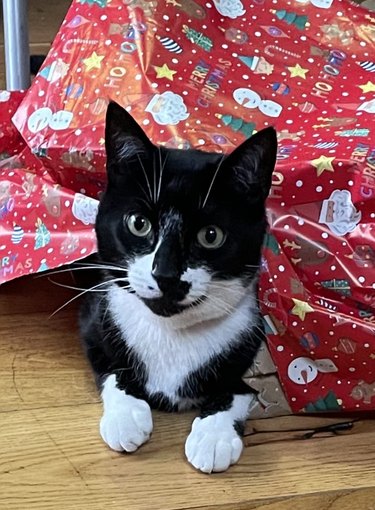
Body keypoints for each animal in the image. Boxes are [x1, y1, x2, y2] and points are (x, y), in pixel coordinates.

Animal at [79, 100, 278, 474]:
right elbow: (110, 368)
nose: (166, 274)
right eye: (138, 223)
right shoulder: (93, 320)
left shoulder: (254, 337)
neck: (170, 333)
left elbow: (240, 389)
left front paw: (212, 438)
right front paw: (126, 417)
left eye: (211, 235)